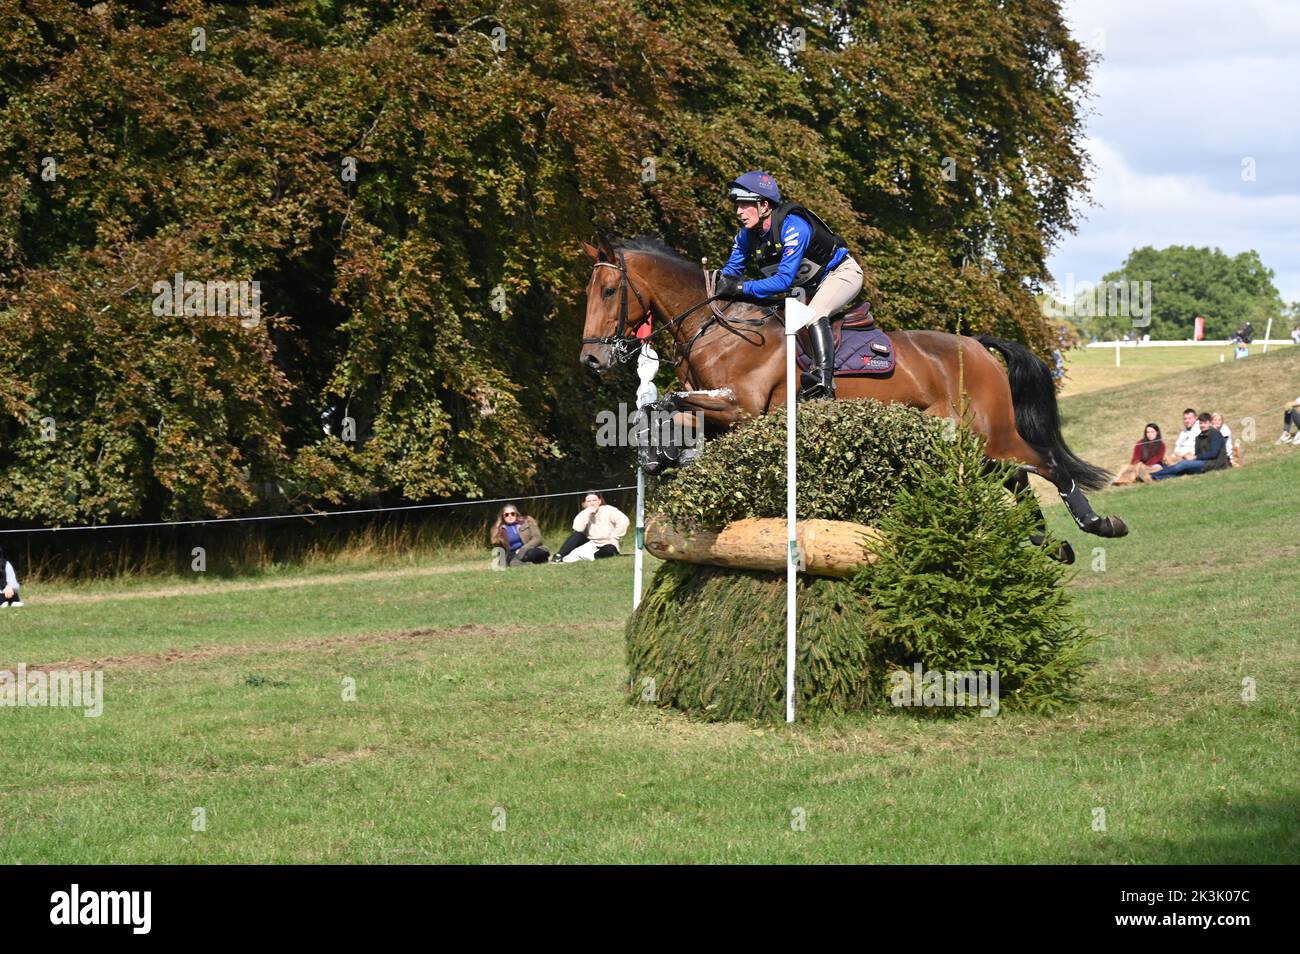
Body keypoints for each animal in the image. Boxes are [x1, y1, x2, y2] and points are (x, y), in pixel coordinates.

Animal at [579, 233, 1128, 556]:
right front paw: (658, 455)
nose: (592, 361)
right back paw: (1048, 543)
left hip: (990, 433)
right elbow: (666, 407)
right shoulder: (715, 412)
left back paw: (1098, 525)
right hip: (963, 441)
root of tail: (977, 345)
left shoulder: (744, 409)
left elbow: (669, 401)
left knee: (1045, 465)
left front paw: (660, 454)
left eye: (609, 292)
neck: (719, 328)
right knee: (1016, 477)